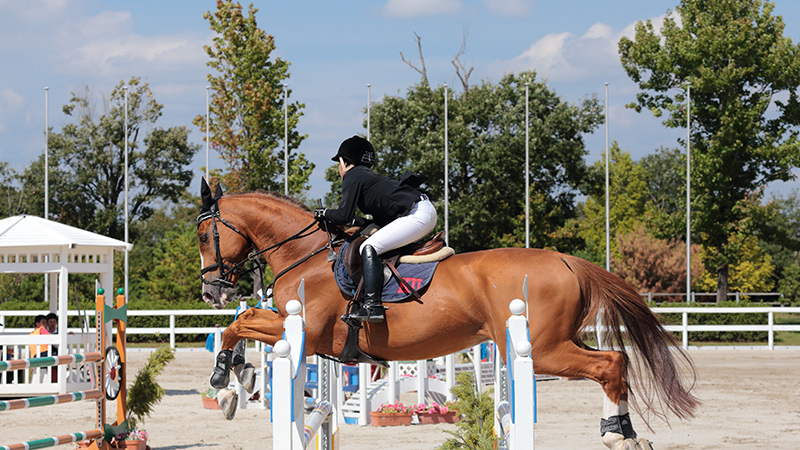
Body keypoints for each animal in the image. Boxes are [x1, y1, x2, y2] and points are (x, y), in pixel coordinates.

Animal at [197, 181, 696, 448]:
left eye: (204, 235)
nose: (211, 290)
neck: (305, 255)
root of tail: (566, 260)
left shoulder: (306, 330)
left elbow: (239, 324)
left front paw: (225, 382)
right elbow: (241, 323)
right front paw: (237, 380)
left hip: (544, 349)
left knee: (609, 363)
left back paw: (616, 434)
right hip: (559, 341)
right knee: (618, 361)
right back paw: (627, 432)